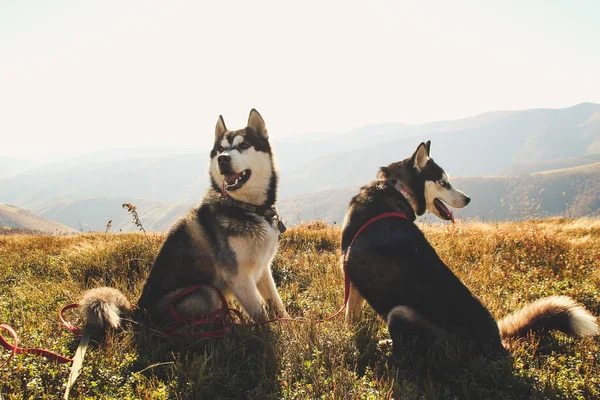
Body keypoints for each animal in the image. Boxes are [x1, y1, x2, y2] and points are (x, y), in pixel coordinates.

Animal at [342, 141, 600, 354]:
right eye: (443, 182)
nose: (468, 199)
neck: (397, 189)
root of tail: (497, 343)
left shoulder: (351, 279)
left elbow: (350, 319)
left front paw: (348, 339)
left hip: (402, 313)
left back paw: (388, 347)